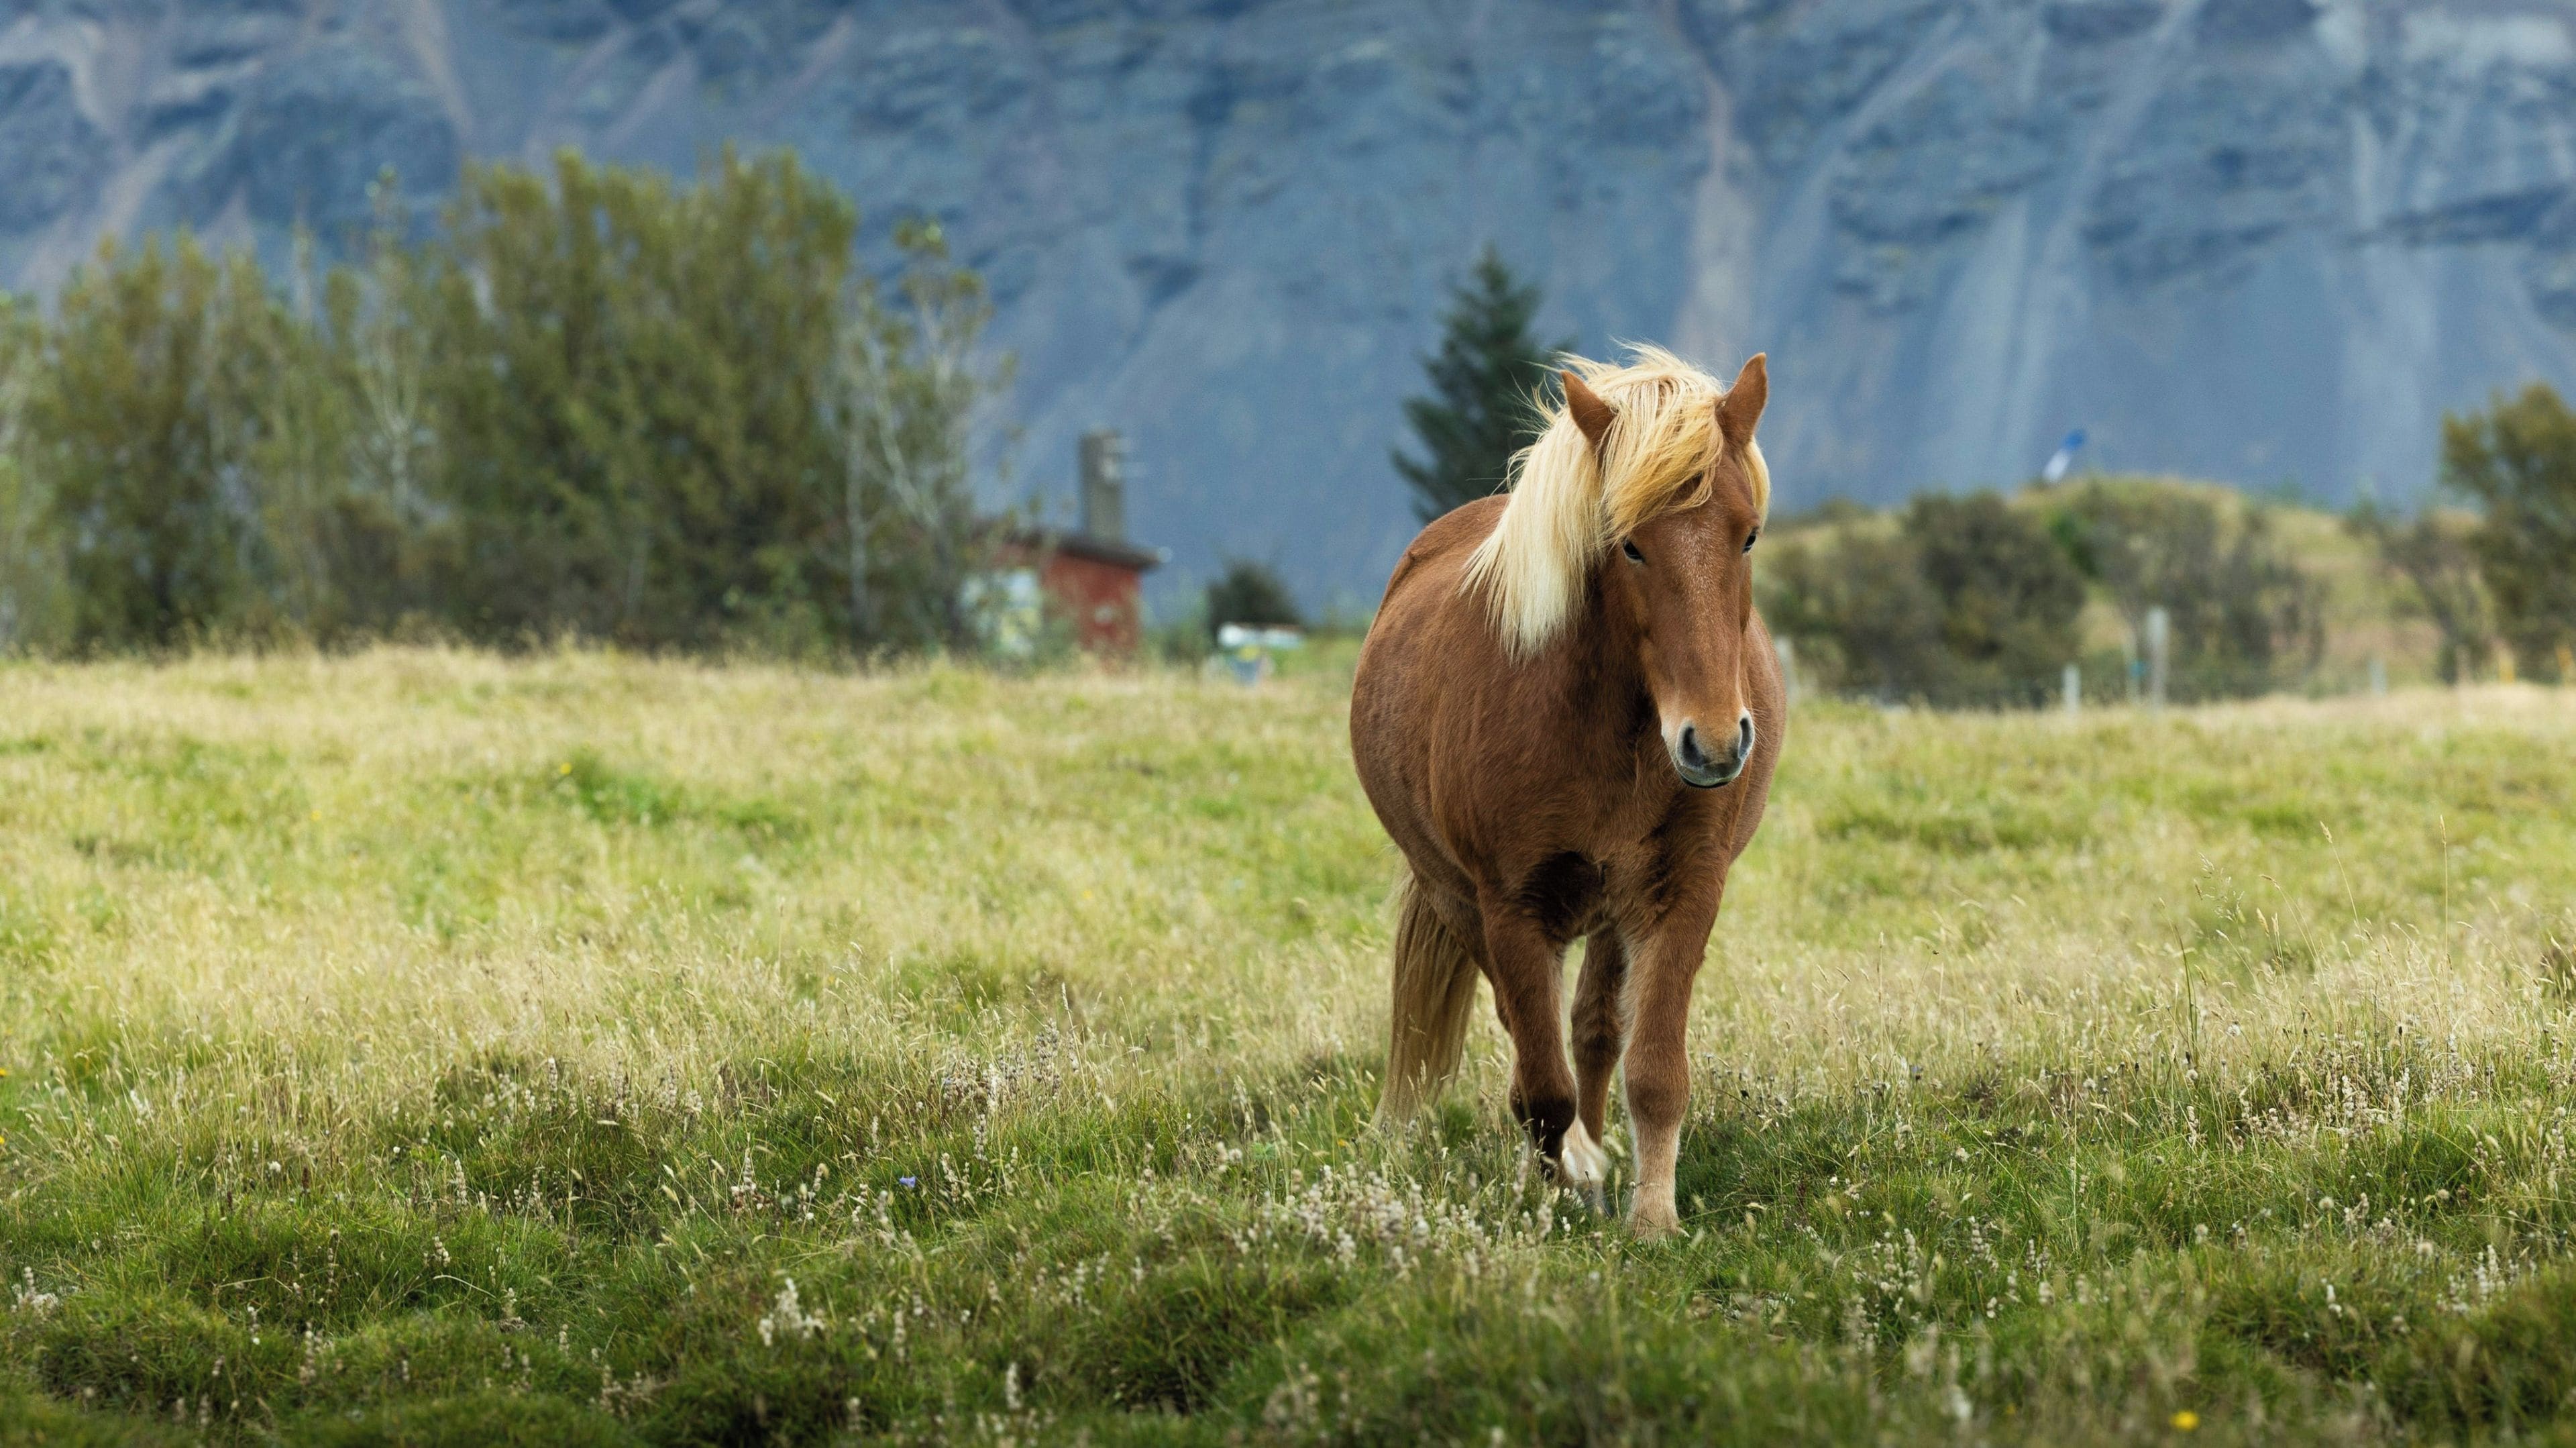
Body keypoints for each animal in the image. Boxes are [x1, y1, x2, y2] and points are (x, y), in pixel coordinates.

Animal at [1349, 345, 1784, 1237]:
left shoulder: (1684, 890)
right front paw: (1566, 1185)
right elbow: (1541, 1086)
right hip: (1462, 901)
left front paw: (1653, 1218)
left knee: (1592, 1032)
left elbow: (1653, 1068)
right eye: (1630, 547)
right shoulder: (1512, 905)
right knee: (1531, 1040)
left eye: (1748, 534)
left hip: (1614, 910)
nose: (1715, 742)